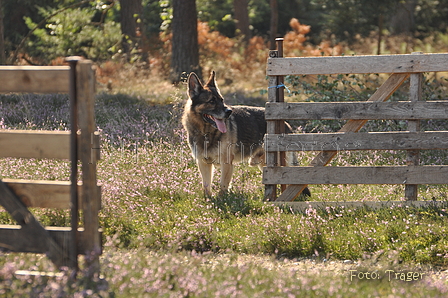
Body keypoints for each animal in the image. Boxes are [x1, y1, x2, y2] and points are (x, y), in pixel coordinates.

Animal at [180, 71, 310, 198]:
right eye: (211, 101)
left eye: (221, 100)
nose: (229, 112)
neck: (206, 133)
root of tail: (285, 123)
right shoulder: (203, 163)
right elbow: (206, 186)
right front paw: (209, 201)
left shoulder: (226, 163)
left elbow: (223, 185)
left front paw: (222, 200)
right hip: (263, 163)